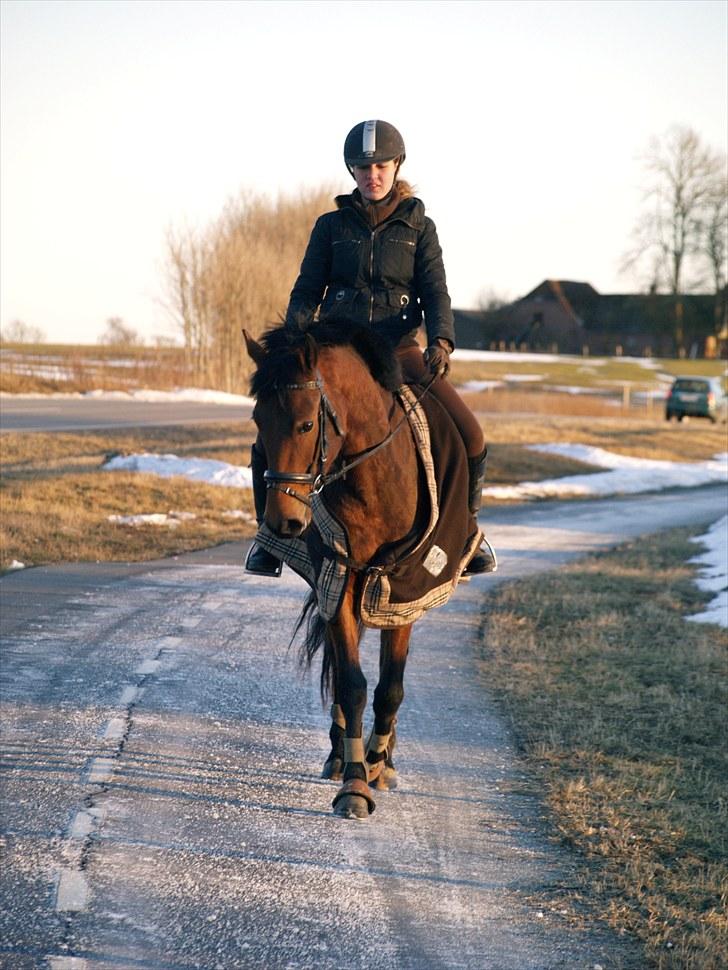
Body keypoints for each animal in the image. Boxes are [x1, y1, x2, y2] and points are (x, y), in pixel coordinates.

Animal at [242, 324, 466, 816]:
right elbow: (352, 684)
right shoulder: (338, 579)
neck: (372, 480)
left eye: (307, 424)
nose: (284, 521)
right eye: (258, 421)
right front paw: (355, 782)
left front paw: (380, 766)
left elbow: (390, 687)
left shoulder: (404, 589)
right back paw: (341, 752)